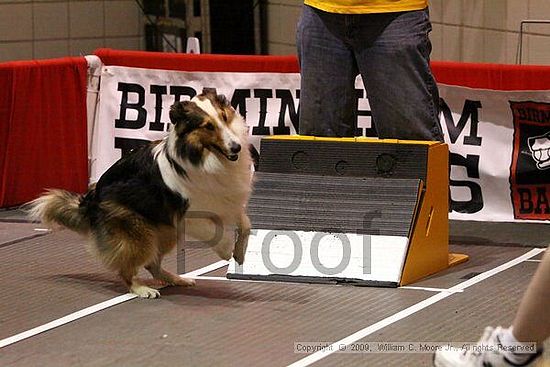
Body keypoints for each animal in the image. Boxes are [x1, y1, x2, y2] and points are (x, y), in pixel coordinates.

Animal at [27, 89, 254, 300]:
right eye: (208, 126)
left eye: (224, 117)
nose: (236, 147)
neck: (205, 157)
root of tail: (91, 197)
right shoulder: (190, 215)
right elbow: (216, 233)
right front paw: (227, 251)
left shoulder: (228, 201)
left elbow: (245, 225)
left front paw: (240, 255)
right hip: (139, 235)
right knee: (127, 269)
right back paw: (143, 289)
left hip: (164, 232)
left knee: (152, 264)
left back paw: (177, 279)